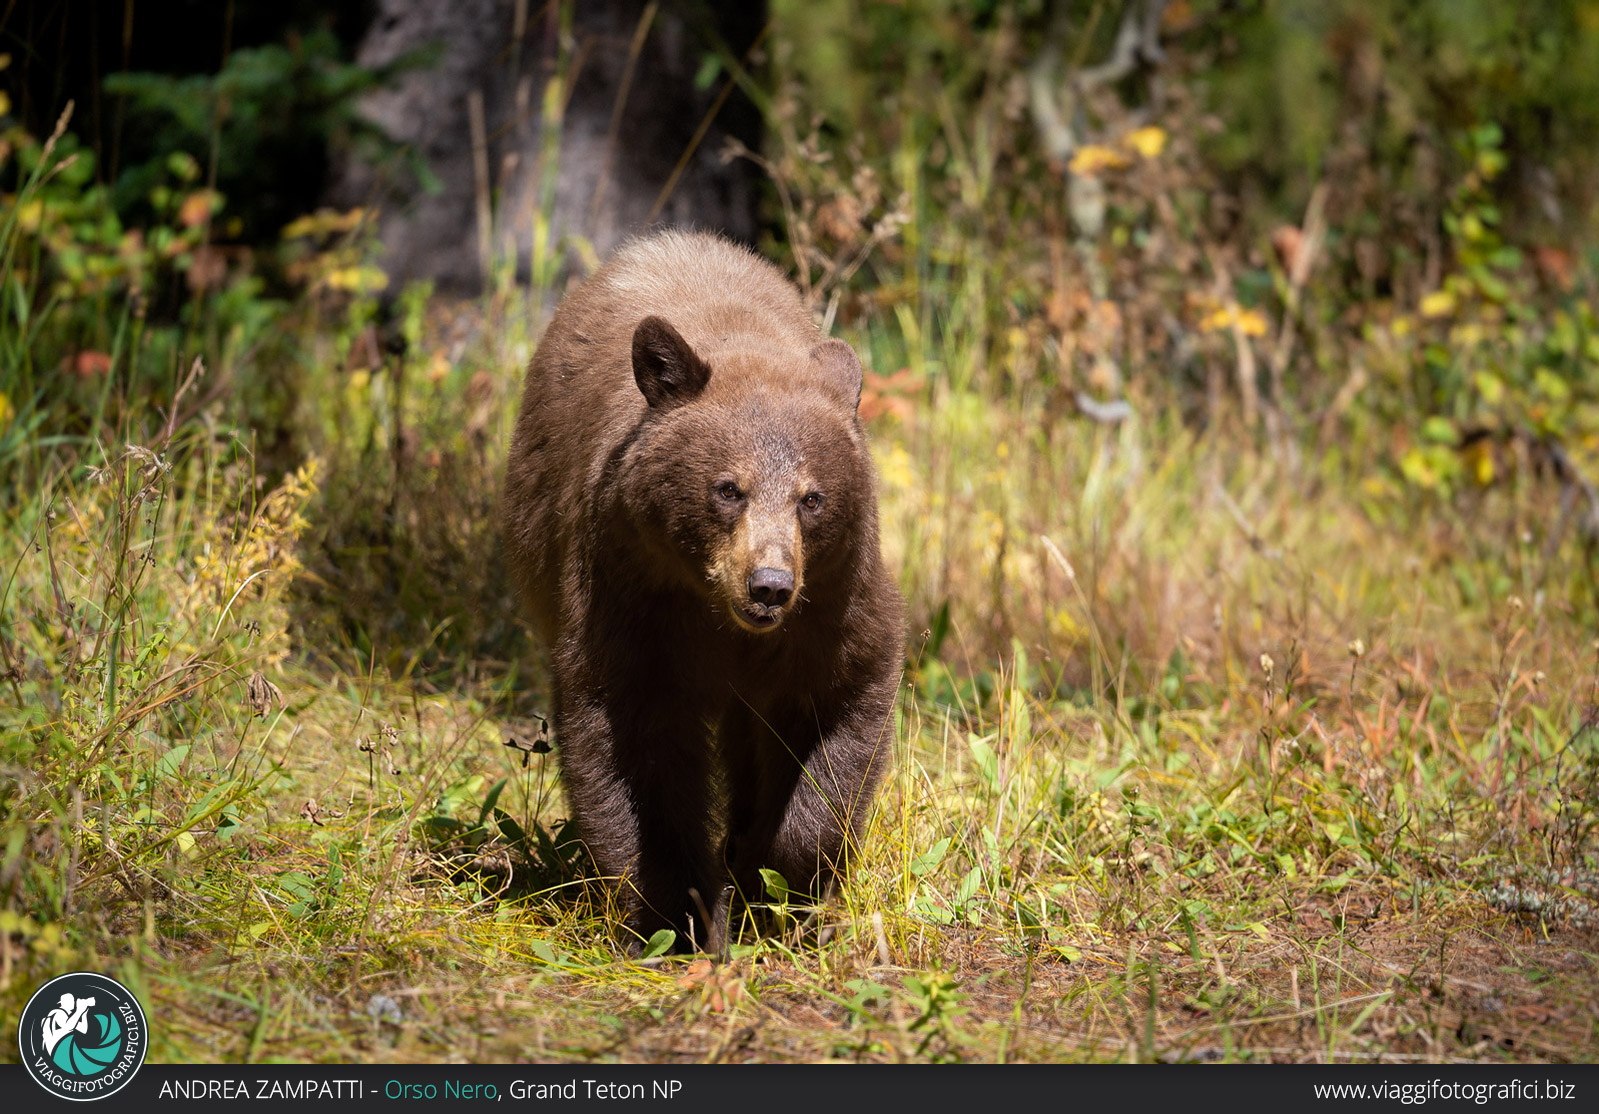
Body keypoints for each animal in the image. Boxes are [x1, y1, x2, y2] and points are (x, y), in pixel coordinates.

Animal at [502, 230, 901, 952]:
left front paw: (779, 888)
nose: (769, 586)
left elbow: (839, 714)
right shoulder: (629, 591)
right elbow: (636, 748)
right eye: (727, 487)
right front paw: (678, 916)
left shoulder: (832, 599)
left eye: (811, 498)